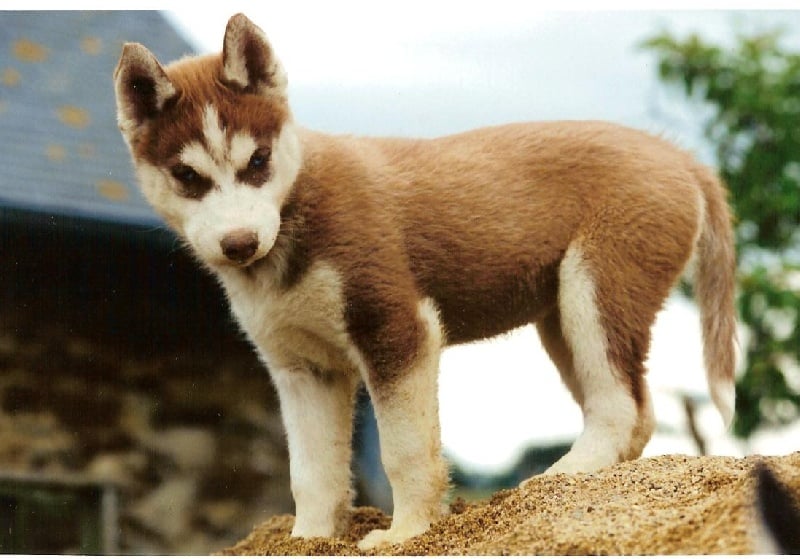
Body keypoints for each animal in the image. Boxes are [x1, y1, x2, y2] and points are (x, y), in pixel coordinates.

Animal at [114, 13, 736, 552]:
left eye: (258, 161)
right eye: (187, 176)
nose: (240, 243)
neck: (296, 214)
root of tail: (677, 154)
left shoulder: (397, 331)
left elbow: (405, 451)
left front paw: (406, 532)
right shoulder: (302, 369)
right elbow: (311, 471)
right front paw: (308, 538)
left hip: (596, 293)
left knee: (620, 406)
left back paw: (562, 478)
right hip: (562, 318)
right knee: (636, 410)